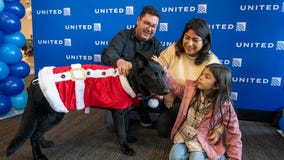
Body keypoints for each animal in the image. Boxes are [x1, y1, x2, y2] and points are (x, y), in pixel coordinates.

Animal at [6, 52, 170, 159]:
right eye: (154, 75)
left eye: (163, 74)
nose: (168, 91)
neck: (130, 80)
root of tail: (35, 82)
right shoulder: (118, 113)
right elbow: (121, 132)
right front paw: (125, 148)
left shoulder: (123, 113)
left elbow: (124, 129)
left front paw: (128, 139)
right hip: (53, 114)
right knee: (33, 135)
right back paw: (38, 155)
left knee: (37, 133)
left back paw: (45, 144)